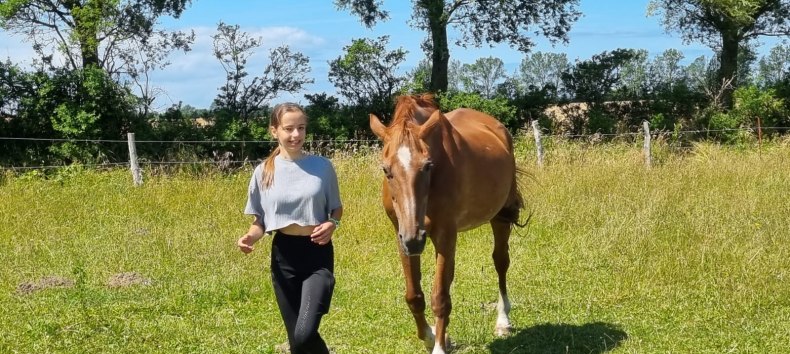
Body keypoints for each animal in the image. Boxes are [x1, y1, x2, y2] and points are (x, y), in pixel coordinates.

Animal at [372, 94, 524, 354]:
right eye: (386, 169)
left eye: (427, 165)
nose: (414, 239)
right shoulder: (402, 236)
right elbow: (414, 295)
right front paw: (431, 336)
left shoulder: (444, 234)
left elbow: (440, 297)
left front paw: (439, 347)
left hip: (500, 217)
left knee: (501, 261)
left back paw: (503, 320)